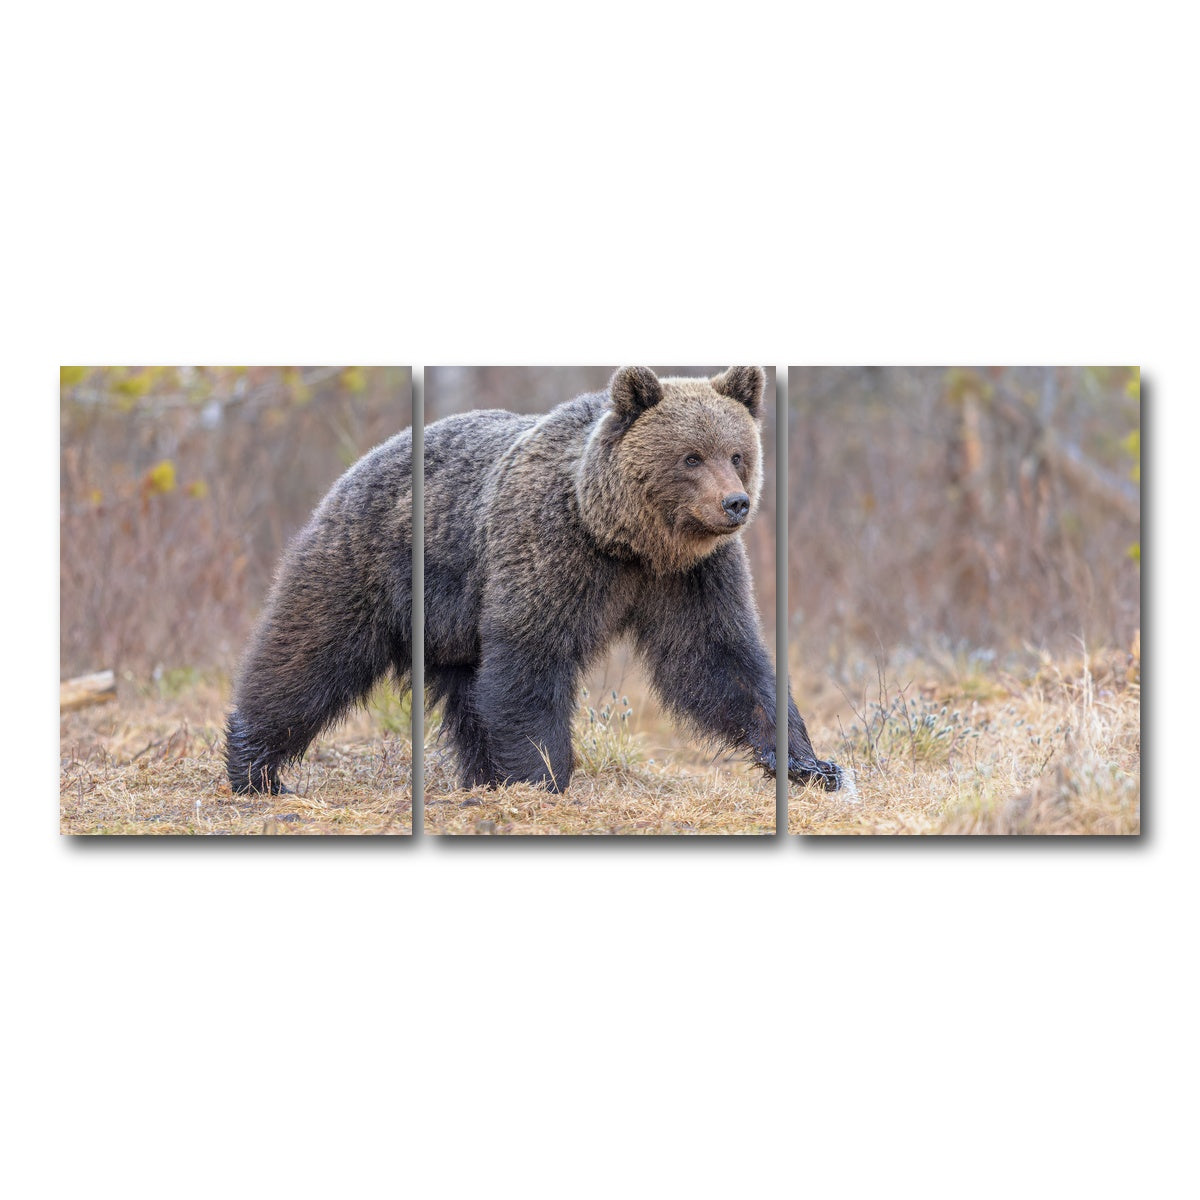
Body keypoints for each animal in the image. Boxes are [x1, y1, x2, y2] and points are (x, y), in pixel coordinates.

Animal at [225, 366, 841, 796]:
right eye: (691, 456)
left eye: (737, 454)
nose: (734, 503)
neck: (625, 539)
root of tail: (363, 461)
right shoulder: (551, 549)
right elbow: (531, 658)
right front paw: (545, 775)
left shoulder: (691, 575)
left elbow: (720, 658)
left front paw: (813, 764)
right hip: (371, 564)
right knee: (308, 655)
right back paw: (257, 768)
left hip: (452, 622)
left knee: (468, 694)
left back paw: (482, 777)